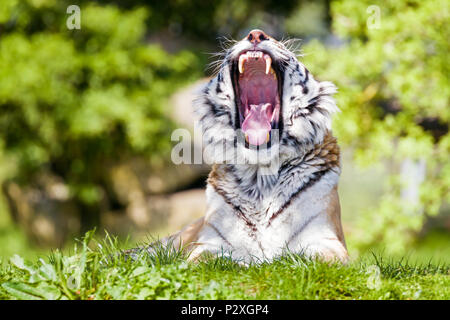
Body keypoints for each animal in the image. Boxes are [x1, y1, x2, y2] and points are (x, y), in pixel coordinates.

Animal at [126, 29, 348, 264]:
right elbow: (208, 261)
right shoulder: (209, 244)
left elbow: (319, 258)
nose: (256, 34)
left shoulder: (326, 240)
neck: (260, 178)